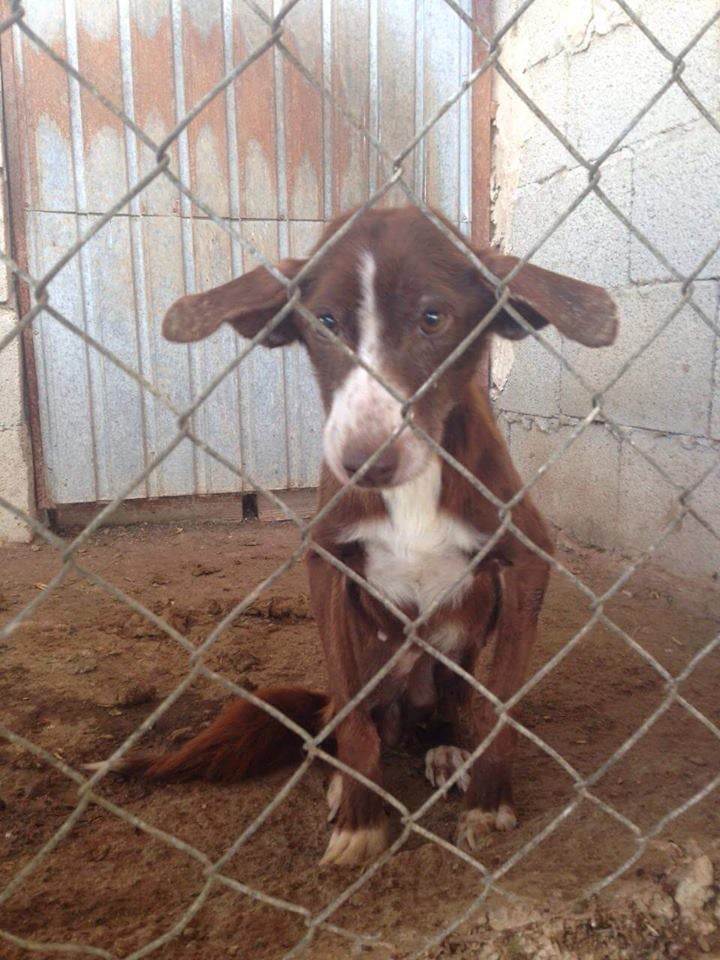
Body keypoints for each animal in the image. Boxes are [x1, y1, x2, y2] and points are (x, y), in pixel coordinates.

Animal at [91, 206, 620, 868]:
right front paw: (362, 817)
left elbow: (501, 709)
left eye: (432, 318)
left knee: (452, 707)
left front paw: (488, 804)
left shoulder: (527, 559)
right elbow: (352, 715)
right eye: (326, 322)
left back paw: (447, 749)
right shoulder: (325, 562)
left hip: (467, 627)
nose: (365, 462)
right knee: (339, 721)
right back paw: (345, 777)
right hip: (374, 650)